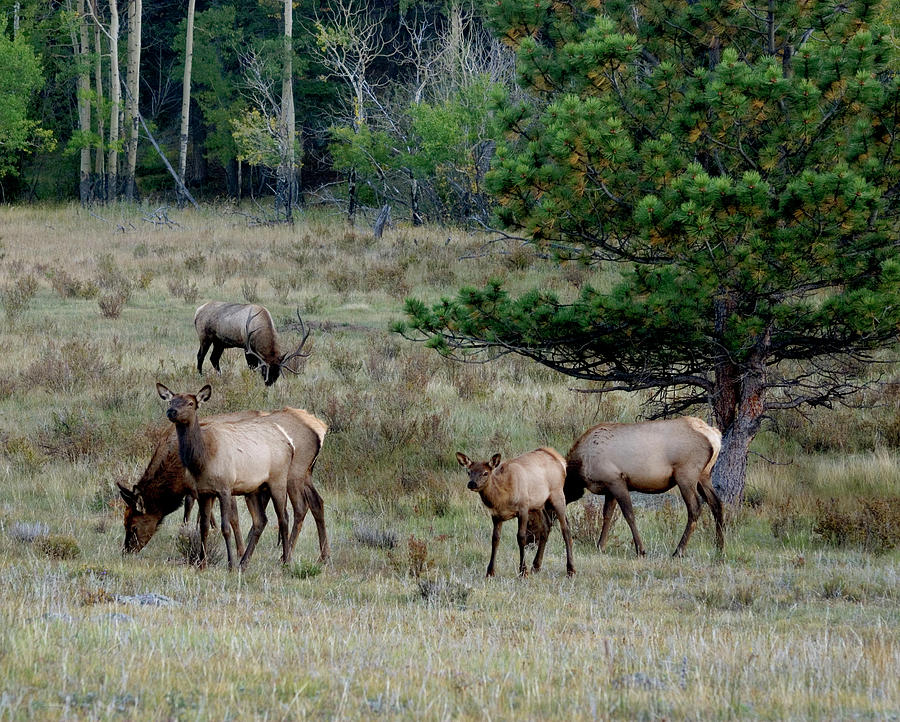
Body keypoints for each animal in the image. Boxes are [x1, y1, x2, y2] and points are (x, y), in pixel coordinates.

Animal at [118, 408, 328, 560]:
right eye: (124, 523)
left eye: (133, 526)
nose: (126, 550)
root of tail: (320, 428)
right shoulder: (202, 488)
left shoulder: (223, 484)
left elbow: (231, 518)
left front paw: (239, 551)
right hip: (306, 475)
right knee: (317, 502)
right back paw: (323, 556)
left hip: (293, 475)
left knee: (300, 508)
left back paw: (287, 554)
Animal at [458, 448, 576, 576]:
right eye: (469, 472)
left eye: (485, 473)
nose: (472, 483)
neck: (502, 498)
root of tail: (560, 460)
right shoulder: (496, 515)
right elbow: (495, 539)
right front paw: (490, 572)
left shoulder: (523, 508)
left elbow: (521, 537)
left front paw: (523, 571)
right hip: (538, 505)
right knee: (546, 526)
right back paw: (536, 566)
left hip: (557, 494)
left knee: (566, 528)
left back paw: (571, 569)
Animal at [568, 410, 724, 556]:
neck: (581, 467)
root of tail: (715, 436)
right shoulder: (609, 487)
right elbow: (607, 515)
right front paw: (600, 546)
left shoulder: (616, 480)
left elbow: (629, 515)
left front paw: (640, 549)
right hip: (704, 476)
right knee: (716, 503)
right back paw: (720, 546)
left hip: (686, 475)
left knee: (695, 508)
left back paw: (678, 551)